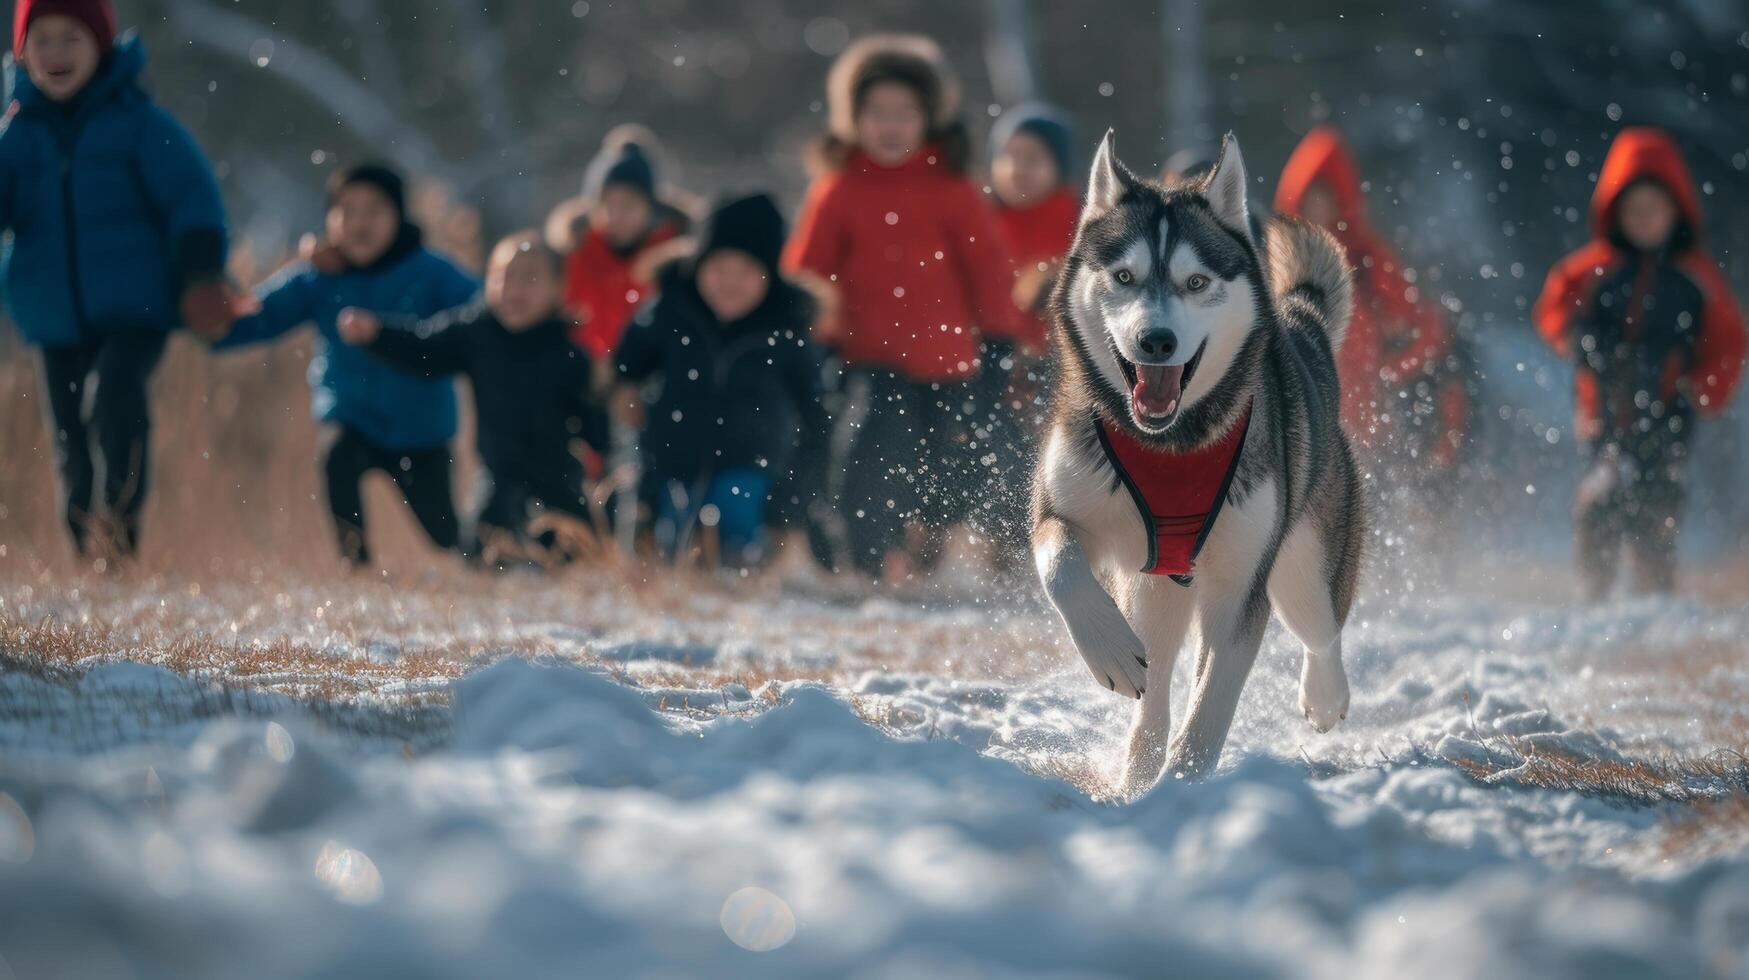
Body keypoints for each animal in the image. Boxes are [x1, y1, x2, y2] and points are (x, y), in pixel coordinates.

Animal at [1028, 130, 1371, 791]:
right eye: (1124, 276)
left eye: (1195, 282)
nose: (1156, 341)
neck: (1171, 442)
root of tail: (1302, 328)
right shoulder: (1061, 508)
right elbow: (1061, 565)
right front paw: (1108, 651)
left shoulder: (1240, 586)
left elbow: (1212, 706)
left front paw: (1182, 789)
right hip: (1153, 586)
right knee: (1154, 682)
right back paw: (1136, 767)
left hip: (1301, 568)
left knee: (1321, 629)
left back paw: (1326, 696)